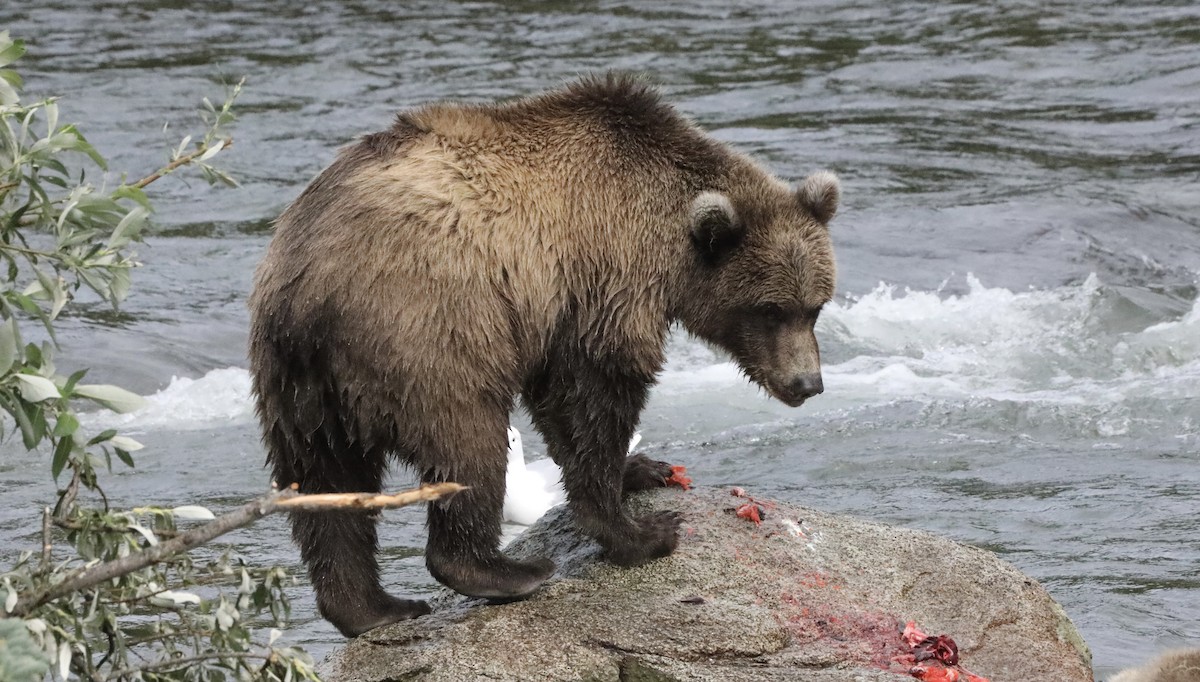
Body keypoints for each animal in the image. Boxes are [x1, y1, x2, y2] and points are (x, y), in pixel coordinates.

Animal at [248, 73, 839, 637]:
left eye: (815, 306)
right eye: (770, 310)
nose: (807, 383)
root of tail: (307, 291)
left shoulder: (554, 312)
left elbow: (562, 405)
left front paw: (643, 469)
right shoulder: (602, 275)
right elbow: (596, 390)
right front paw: (643, 530)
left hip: (299, 386)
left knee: (325, 486)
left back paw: (374, 607)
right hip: (426, 336)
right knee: (468, 444)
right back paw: (507, 572)